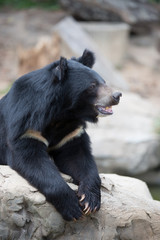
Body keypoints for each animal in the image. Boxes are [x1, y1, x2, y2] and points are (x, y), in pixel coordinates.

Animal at [0, 50, 121, 221]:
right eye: (92, 86)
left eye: (103, 81)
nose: (117, 95)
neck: (62, 114)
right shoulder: (26, 127)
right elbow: (33, 161)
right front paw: (72, 206)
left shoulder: (70, 133)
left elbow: (78, 158)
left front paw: (89, 201)